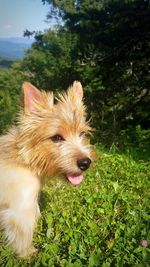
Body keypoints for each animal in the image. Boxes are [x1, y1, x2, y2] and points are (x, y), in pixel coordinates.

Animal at [0, 81, 93, 258]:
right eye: (56, 138)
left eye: (82, 134)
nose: (86, 162)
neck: (26, 159)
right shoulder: (21, 211)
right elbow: (23, 236)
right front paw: (29, 255)